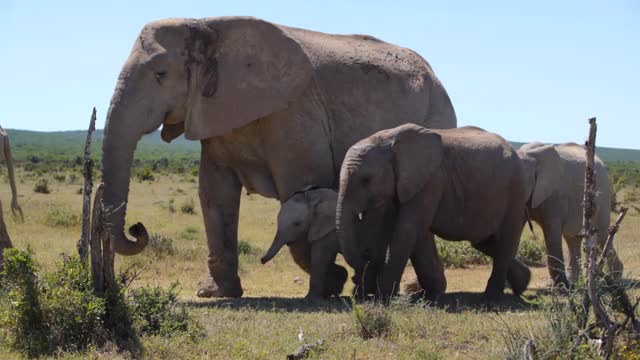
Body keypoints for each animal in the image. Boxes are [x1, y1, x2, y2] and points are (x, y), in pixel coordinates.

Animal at [102, 16, 458, 298]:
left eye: (161, 74)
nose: (137, 228)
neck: (209, 26)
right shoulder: (214, 113)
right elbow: (214, 194)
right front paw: (215, 293)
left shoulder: (295, 111)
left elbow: (299, 187)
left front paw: (333, 282)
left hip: (436, 117)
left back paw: (412, 290)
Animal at [338, 124, 532, 300]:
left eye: (366, 180)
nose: (357, 280)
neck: (387, 140)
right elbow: (414, 233)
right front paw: (428, 294)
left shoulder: (431, 181)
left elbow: (406, 231)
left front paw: (383, 296)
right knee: (485, 242)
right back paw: (522, 284)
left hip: (515, 193)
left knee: (505, 241)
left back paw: (491, 297)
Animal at [516, 142, 624, 286]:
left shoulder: (555, 195)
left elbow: (551, 231)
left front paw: (558, 286)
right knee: (572, 239)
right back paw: (575, 282)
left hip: (603, 195)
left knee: (603, 235)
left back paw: (615, 280)